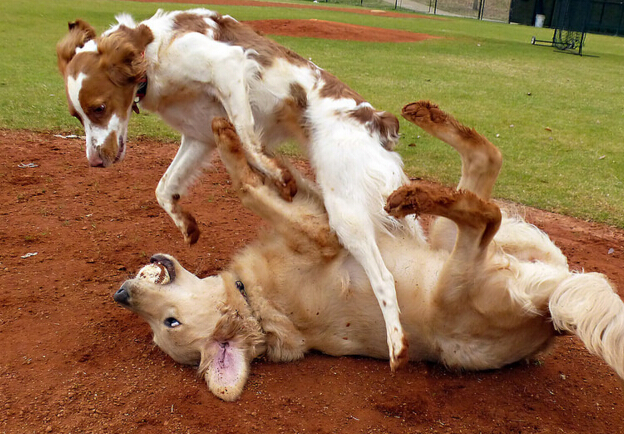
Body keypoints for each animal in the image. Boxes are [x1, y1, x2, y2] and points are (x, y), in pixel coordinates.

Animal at [57, 9, 410, 369]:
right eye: (77, 116)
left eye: (99, 108)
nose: (95, 162)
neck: (151, 51)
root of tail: (378, 123)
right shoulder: (199, 136)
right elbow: (164, 188)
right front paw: (186, 224)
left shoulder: (227, 64)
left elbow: (246, 134)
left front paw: (272, 169)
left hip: (346, 213)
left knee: (384, 279)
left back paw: (396, 344)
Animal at [114, 101, 624, 402]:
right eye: (168, 324)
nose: (121, 295)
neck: (252, 301)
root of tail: (551, 317)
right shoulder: (321, 234)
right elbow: (246, 188)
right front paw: (228, 136)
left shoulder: (316, 210)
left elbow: (275, 179)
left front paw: (243, 140)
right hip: (456, 281)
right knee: (484, 214)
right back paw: (419, 193)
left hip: (449, 241)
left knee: (487, 165)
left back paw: (426, 122)